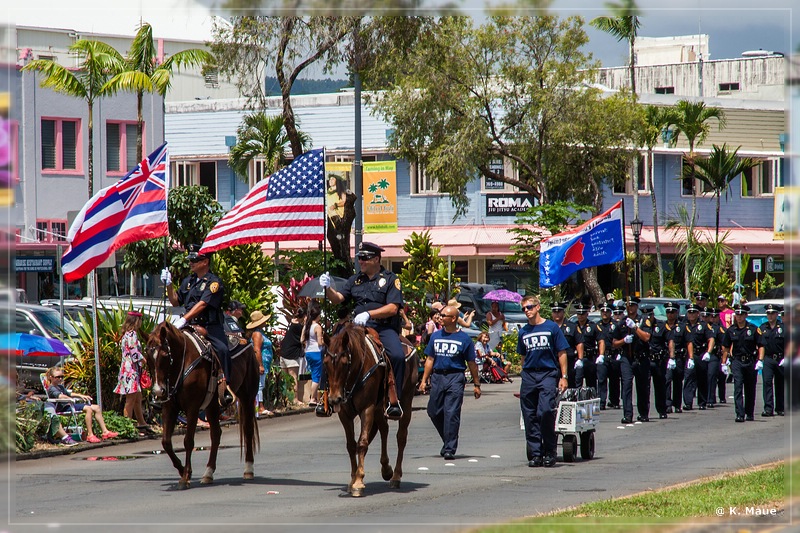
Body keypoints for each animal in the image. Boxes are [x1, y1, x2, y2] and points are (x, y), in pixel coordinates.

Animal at [145, 318, 260, 488]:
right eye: (147, 357)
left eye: (165, 355)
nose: (159, 391)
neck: (182, 363)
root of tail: (245, 340)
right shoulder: (169, 407)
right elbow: (166, 442)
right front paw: (182, 470)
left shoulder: (192, 407)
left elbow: (188, 441)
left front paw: (185, 477)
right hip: (212, 405)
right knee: (216, 434)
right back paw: (208, 473)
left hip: (247, 397)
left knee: (248, 430)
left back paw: (249, 469)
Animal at [324, 322, 418, 496]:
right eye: (325, 363)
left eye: (345, 363)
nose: (334, 399)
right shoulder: (345, 414)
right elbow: (351, 445)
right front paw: (352, 479)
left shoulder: (367, 408)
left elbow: (362, 443)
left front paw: (359, 482)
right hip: (379, 408)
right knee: (384, 429)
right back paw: (386, 469)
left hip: (406, 401)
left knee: (401, 437)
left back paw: (395, 476)